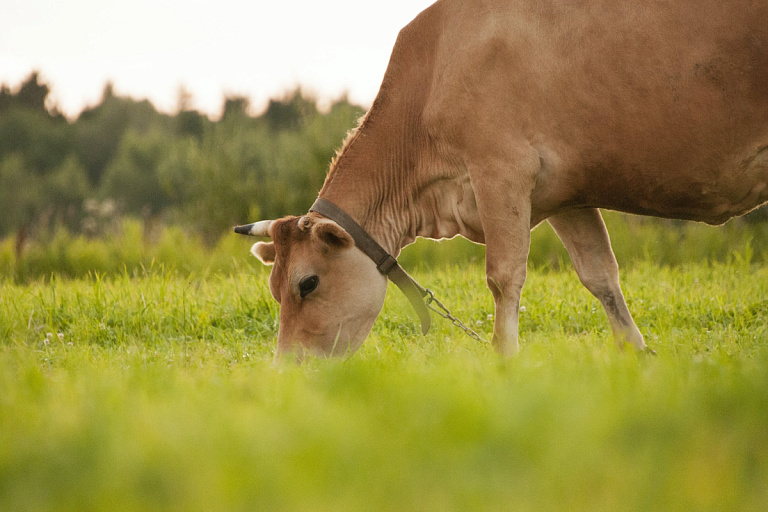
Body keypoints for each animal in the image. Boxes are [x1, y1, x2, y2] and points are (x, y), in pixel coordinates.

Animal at [236, 0, 768, 360]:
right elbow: (602, 278)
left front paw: (504, 363)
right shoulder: (568, 198)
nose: (286, 372)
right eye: (274, 290)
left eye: (307, 283)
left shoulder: (501, 172)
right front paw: (638, 358)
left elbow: (504, 277)